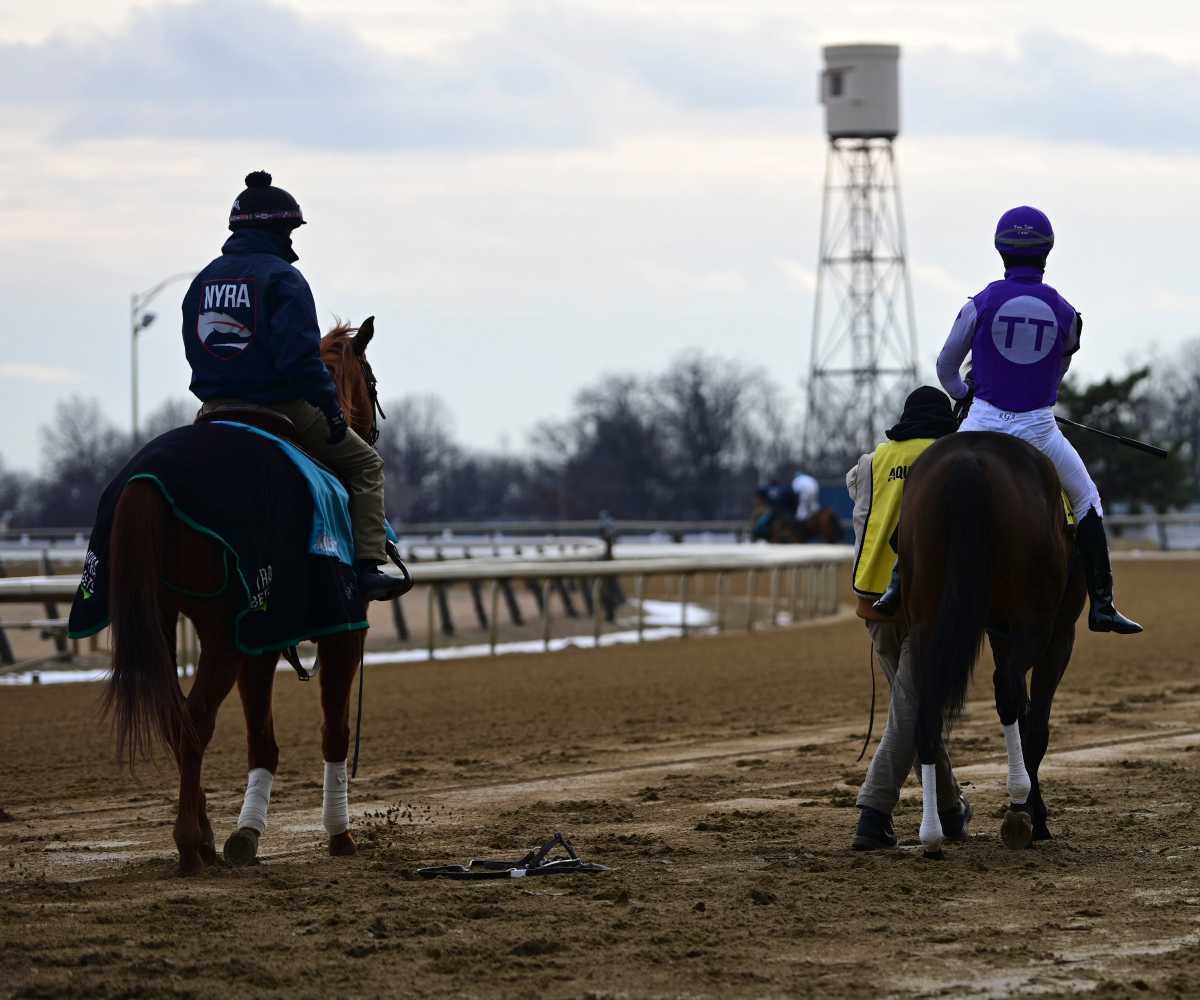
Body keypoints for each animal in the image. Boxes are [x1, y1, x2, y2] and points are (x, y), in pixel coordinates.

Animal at [103, 318, 386, 875]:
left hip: (164, 618)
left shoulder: (262, 635)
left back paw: (204, 839)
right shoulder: (344, 627)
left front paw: (246, 835)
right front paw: (339, 835)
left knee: (175, 715)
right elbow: (334, 732)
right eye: (371, 379)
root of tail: (150, 479)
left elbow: (262, 742)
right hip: (222, 630)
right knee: (193, 720)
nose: (369, 432)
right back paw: (190, 843)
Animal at [899, 431, 1086, 857]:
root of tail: (968, 462)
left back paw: (931, 835)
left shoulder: (1000, 634)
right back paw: (1017, 810)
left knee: (928, 704)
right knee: (1006, 691)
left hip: (926, 620)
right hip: (1036, 622)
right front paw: (1036, 818)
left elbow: (1022, 712)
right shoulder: (1058, 635)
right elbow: (1035, 726)